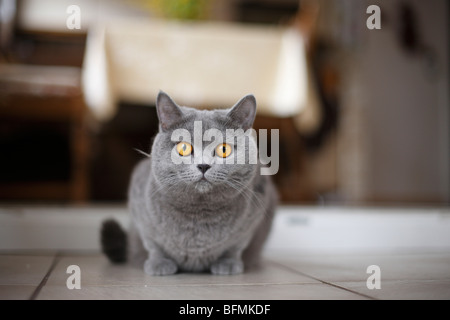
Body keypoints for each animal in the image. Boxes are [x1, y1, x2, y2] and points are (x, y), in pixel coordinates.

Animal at [101, 90, 276, 276]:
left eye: (224, 149)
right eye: (184, 148)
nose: (203, 165)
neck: (198, 214)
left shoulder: (255, 212)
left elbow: (236, 246)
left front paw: (228, 263)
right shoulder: (140, 206)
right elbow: (153, 243)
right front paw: (159, 263)